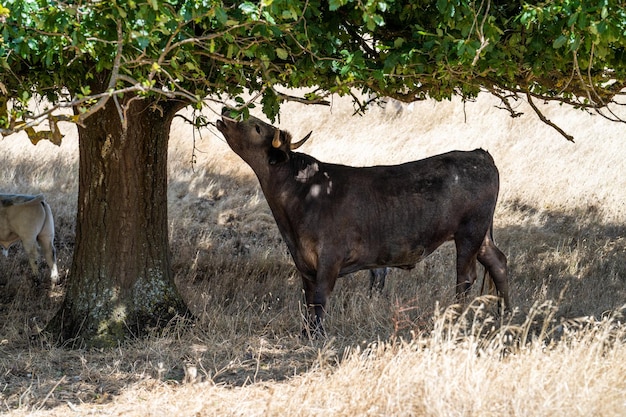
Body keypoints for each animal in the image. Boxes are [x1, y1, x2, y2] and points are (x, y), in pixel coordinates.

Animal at [216, 109, 508, 336]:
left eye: (256, 127)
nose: (225, 110)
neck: (304, 191)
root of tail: (479, 154)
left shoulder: (330, 257)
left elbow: (320, 298)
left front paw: (317, 335)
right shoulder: (304, 262)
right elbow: (308, 299)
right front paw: (305, 333)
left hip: (470, 231)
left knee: (466, 276)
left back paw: (455, 318)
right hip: (482, 234)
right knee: (498, 261)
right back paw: (504, 312)